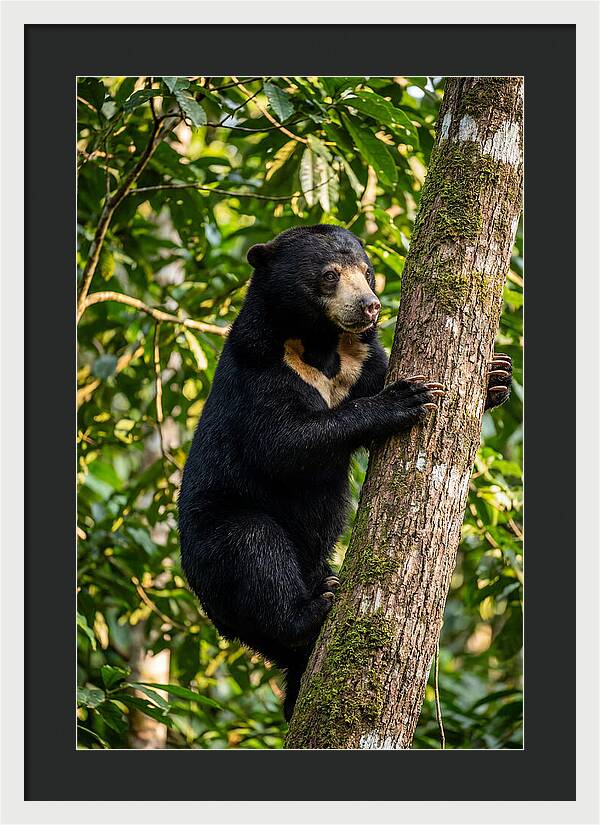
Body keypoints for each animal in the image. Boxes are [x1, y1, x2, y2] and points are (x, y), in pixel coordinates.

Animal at [178, 224, 512, 722]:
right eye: (330, 275)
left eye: (369, 272)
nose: (370, 305)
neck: (320, 345)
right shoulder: (259, 369)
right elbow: (281, 444)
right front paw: (405, 398)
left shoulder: (361, 360)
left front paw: (496, 376)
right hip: (214, 537)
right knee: (253, 548)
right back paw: (314, 607)